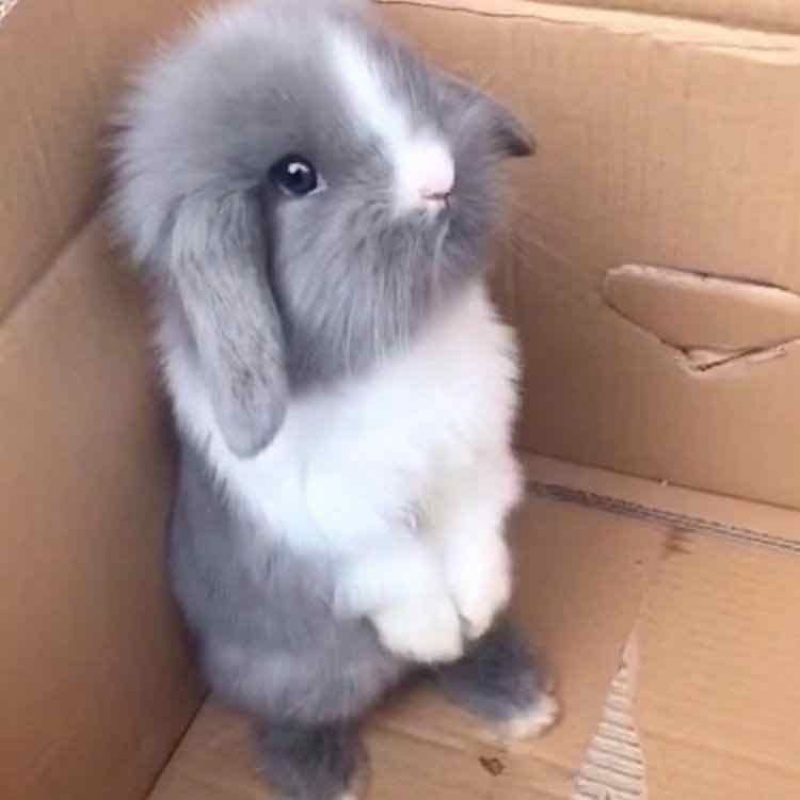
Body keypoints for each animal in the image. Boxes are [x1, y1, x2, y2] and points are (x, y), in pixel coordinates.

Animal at [111, 1, 558, 797]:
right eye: (295, 176)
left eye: (410, 82)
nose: (439, 179)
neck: (395, 349)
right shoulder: (332, 524)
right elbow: (396, 569)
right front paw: (433, 627)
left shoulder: (478, 462)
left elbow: (475, 538)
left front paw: (474, 610)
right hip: (298, 674)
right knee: (295, 716)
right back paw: (330, 774)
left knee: (457, 660)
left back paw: (518, 698)